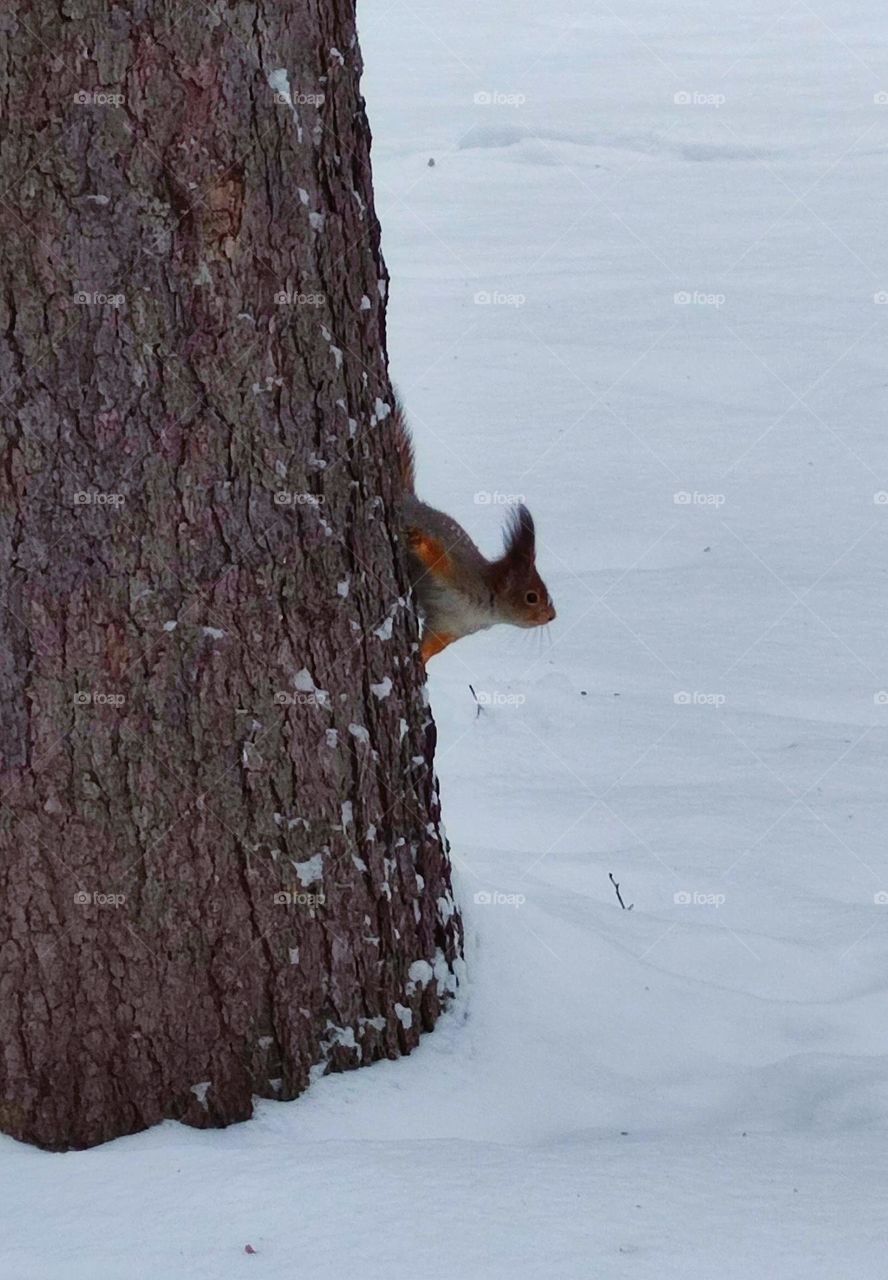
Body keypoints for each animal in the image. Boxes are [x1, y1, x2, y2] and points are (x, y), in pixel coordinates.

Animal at [391, 404, 557, 665]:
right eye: (532, 597)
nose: (552, 616)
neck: (485, 608)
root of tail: (410, 498)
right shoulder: (460, 573)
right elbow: (439, 559)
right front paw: (419, 543)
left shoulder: (450, 626)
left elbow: (433, 643)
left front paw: (423, 660)